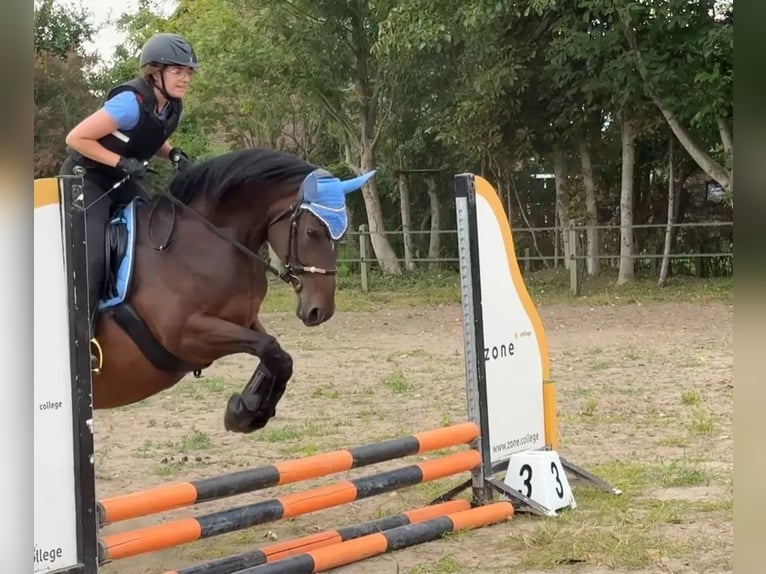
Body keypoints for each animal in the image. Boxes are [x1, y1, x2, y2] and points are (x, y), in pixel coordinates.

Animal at [83, 147, 374, 433]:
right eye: (312, 232)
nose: (320, 310)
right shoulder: (184, 334)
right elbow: (269, 347)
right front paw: (247, 410)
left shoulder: (243, 319)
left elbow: (278, 355)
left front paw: (244, 411)